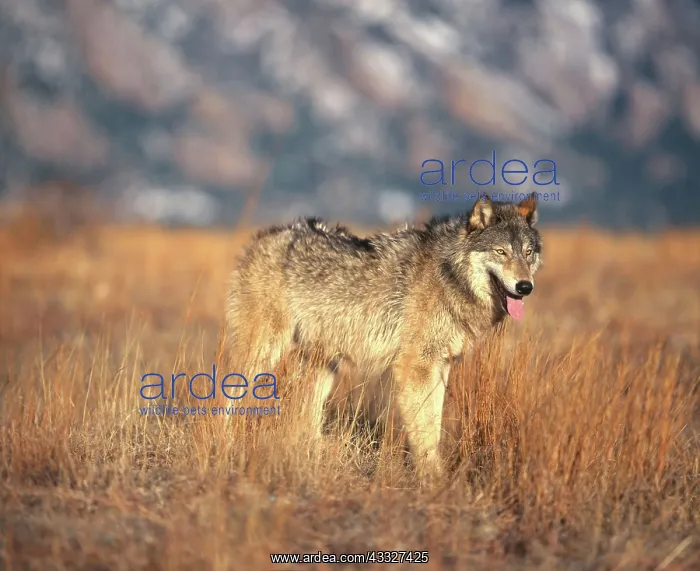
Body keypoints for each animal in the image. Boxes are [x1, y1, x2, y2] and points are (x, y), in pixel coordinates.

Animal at [226, 195, 542, 482]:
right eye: (501, 252)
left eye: (528, 253)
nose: (525, 287)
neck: (449, 276)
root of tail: (266, 236)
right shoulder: (415, 368)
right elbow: (426, 432)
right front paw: (434, 481)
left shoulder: (440, 366)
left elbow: (434, 425)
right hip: (262, 354)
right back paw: (224, 442)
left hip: (324, 366)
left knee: (302, 416)